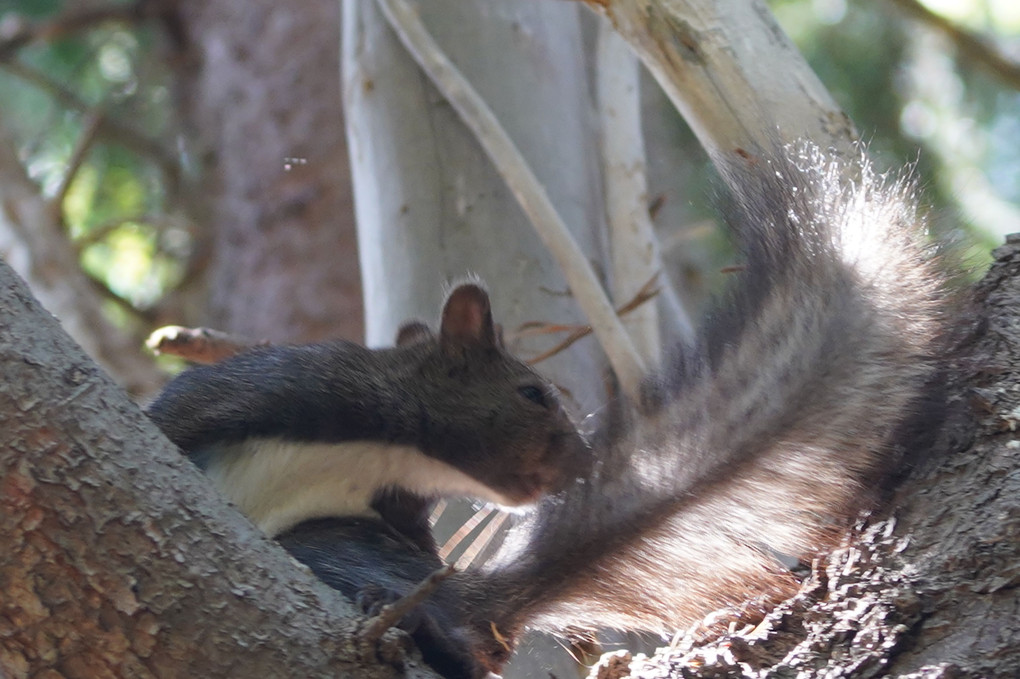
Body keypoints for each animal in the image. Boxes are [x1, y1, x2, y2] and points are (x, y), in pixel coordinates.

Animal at [145, 143, 946, 676]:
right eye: (532, 394)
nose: (587, 460)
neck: (383, 446)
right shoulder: (267, 390)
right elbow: (171, 424)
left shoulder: (397, 508)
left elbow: (421, 552)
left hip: (340, 541)